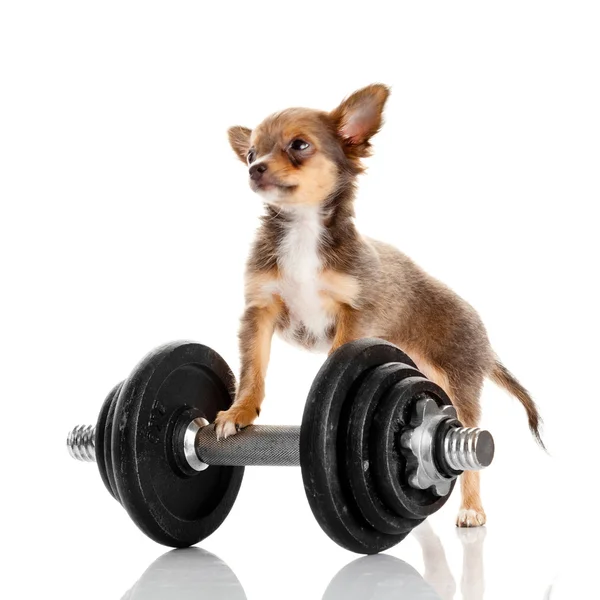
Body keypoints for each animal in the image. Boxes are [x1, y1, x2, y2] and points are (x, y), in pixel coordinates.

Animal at [219, 83, 544, 524]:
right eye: (252, 152)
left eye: (299, 145)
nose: (254, 169)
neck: (303, 230)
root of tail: (487, 344)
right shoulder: (260, 310)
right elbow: (252, 370)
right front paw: (238, 413)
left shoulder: (354, 314)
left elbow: (334, 359)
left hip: (461, 385)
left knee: (471, 451)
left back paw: (472, 510)